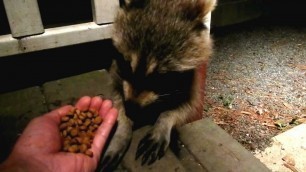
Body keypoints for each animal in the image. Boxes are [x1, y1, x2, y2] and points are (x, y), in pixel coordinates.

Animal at [99, 0, 216, 170]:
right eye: (127, 66)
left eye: (157, 78)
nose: (132, 110)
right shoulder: (117, 69)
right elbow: (116, 93)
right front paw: (122, 129)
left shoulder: (193, 75)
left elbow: (186, 105)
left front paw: (164, 122)